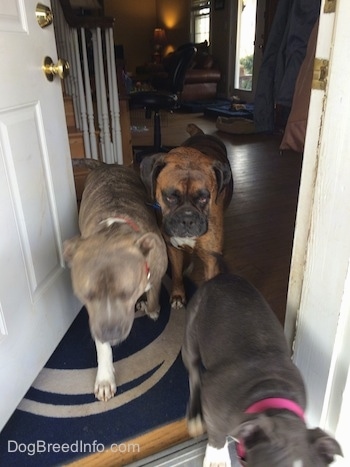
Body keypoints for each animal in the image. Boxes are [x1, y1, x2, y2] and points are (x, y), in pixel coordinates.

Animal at [64, 165, 168, 402]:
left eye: (128, 293)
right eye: (86, 296)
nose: (110, 334)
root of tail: (105, 165)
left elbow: (154, 293)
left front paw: (151, 308)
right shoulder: (96, 317)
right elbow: (102, 349)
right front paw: (104, 378)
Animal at [139, 124, 232, 308]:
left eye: (204, 198)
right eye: (170, 197)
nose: (188, 219)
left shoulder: (210, 260)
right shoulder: (172, 248)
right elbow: (176, 272)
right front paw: (177, 294)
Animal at [182, 272, 344, 466]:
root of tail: (221, 277)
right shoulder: (212, 399)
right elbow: (216, 433)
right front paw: (216, 457)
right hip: (191, 335)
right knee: (193, 373)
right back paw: (195, 415)